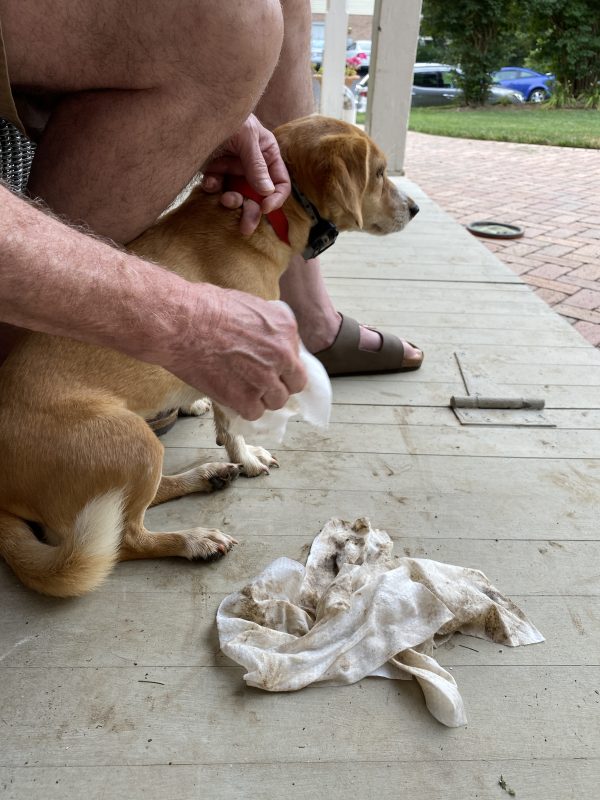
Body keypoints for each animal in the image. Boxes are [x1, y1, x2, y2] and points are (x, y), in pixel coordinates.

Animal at [0, 115, 418, 596]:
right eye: (380, 173)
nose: (415, 208)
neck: (264, 215)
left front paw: (195, 406)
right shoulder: (237, 352)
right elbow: (232, 426)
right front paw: (247, 458)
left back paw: (207, 475)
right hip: (134, 443)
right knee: (125, 538)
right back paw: (193, 540)